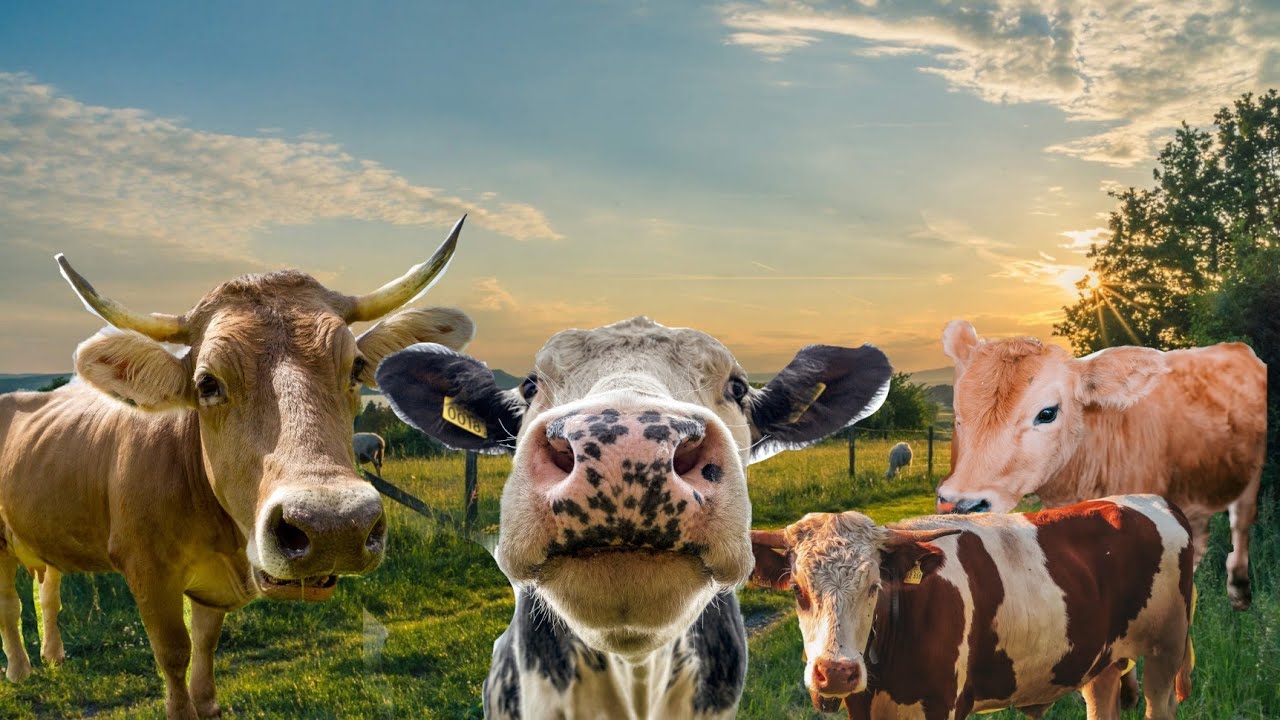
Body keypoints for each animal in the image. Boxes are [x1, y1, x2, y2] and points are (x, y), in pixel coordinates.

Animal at [0, 219, 474, 720]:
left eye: (356, 368)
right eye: (207, 383)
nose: (334, 527)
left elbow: (206, 641)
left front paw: (207, 702)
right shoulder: (147, 570)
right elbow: (174, 652)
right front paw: (184, 706)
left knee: (47, 592)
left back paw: (54, 655)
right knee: (10, 606)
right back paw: (19, 670)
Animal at [751, 495, 1195, 720]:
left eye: (874, 586)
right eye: (797, 590)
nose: (836, 672)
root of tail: (1154, 501)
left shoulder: (944, 705)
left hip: (1166, 649)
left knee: (1159, 704)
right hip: (1100, 661)